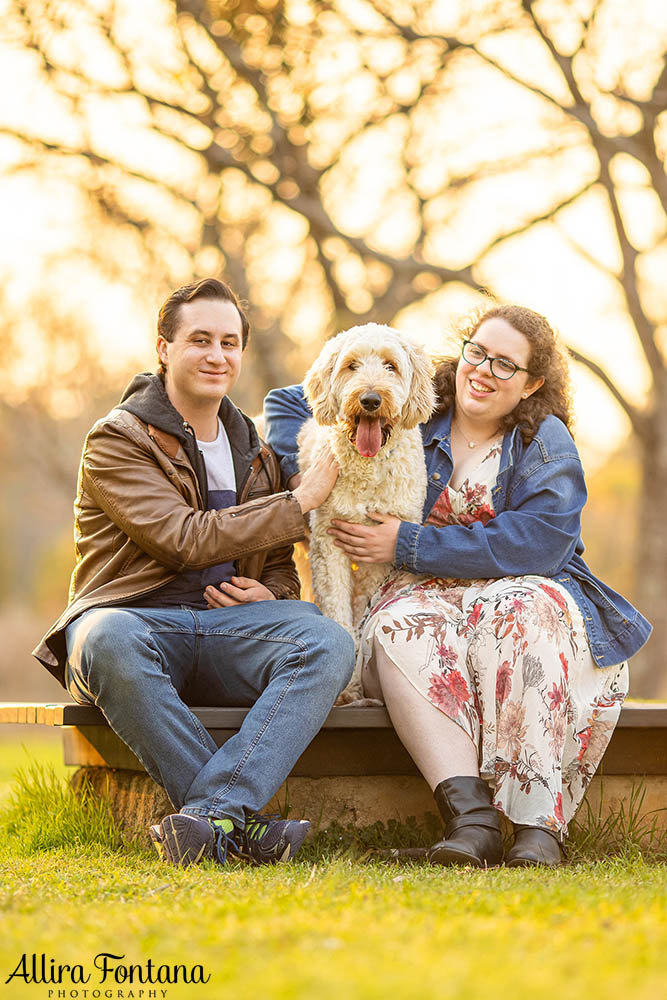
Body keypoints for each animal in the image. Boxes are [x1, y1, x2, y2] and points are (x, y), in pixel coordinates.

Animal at [298, 324, 436, 700]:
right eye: (352, 366)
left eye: (391, 366)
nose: (371, 400)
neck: (368, 465)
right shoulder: (327, 546)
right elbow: (338, 610)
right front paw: (346, 686)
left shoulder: (378, 553)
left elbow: (361, 608)